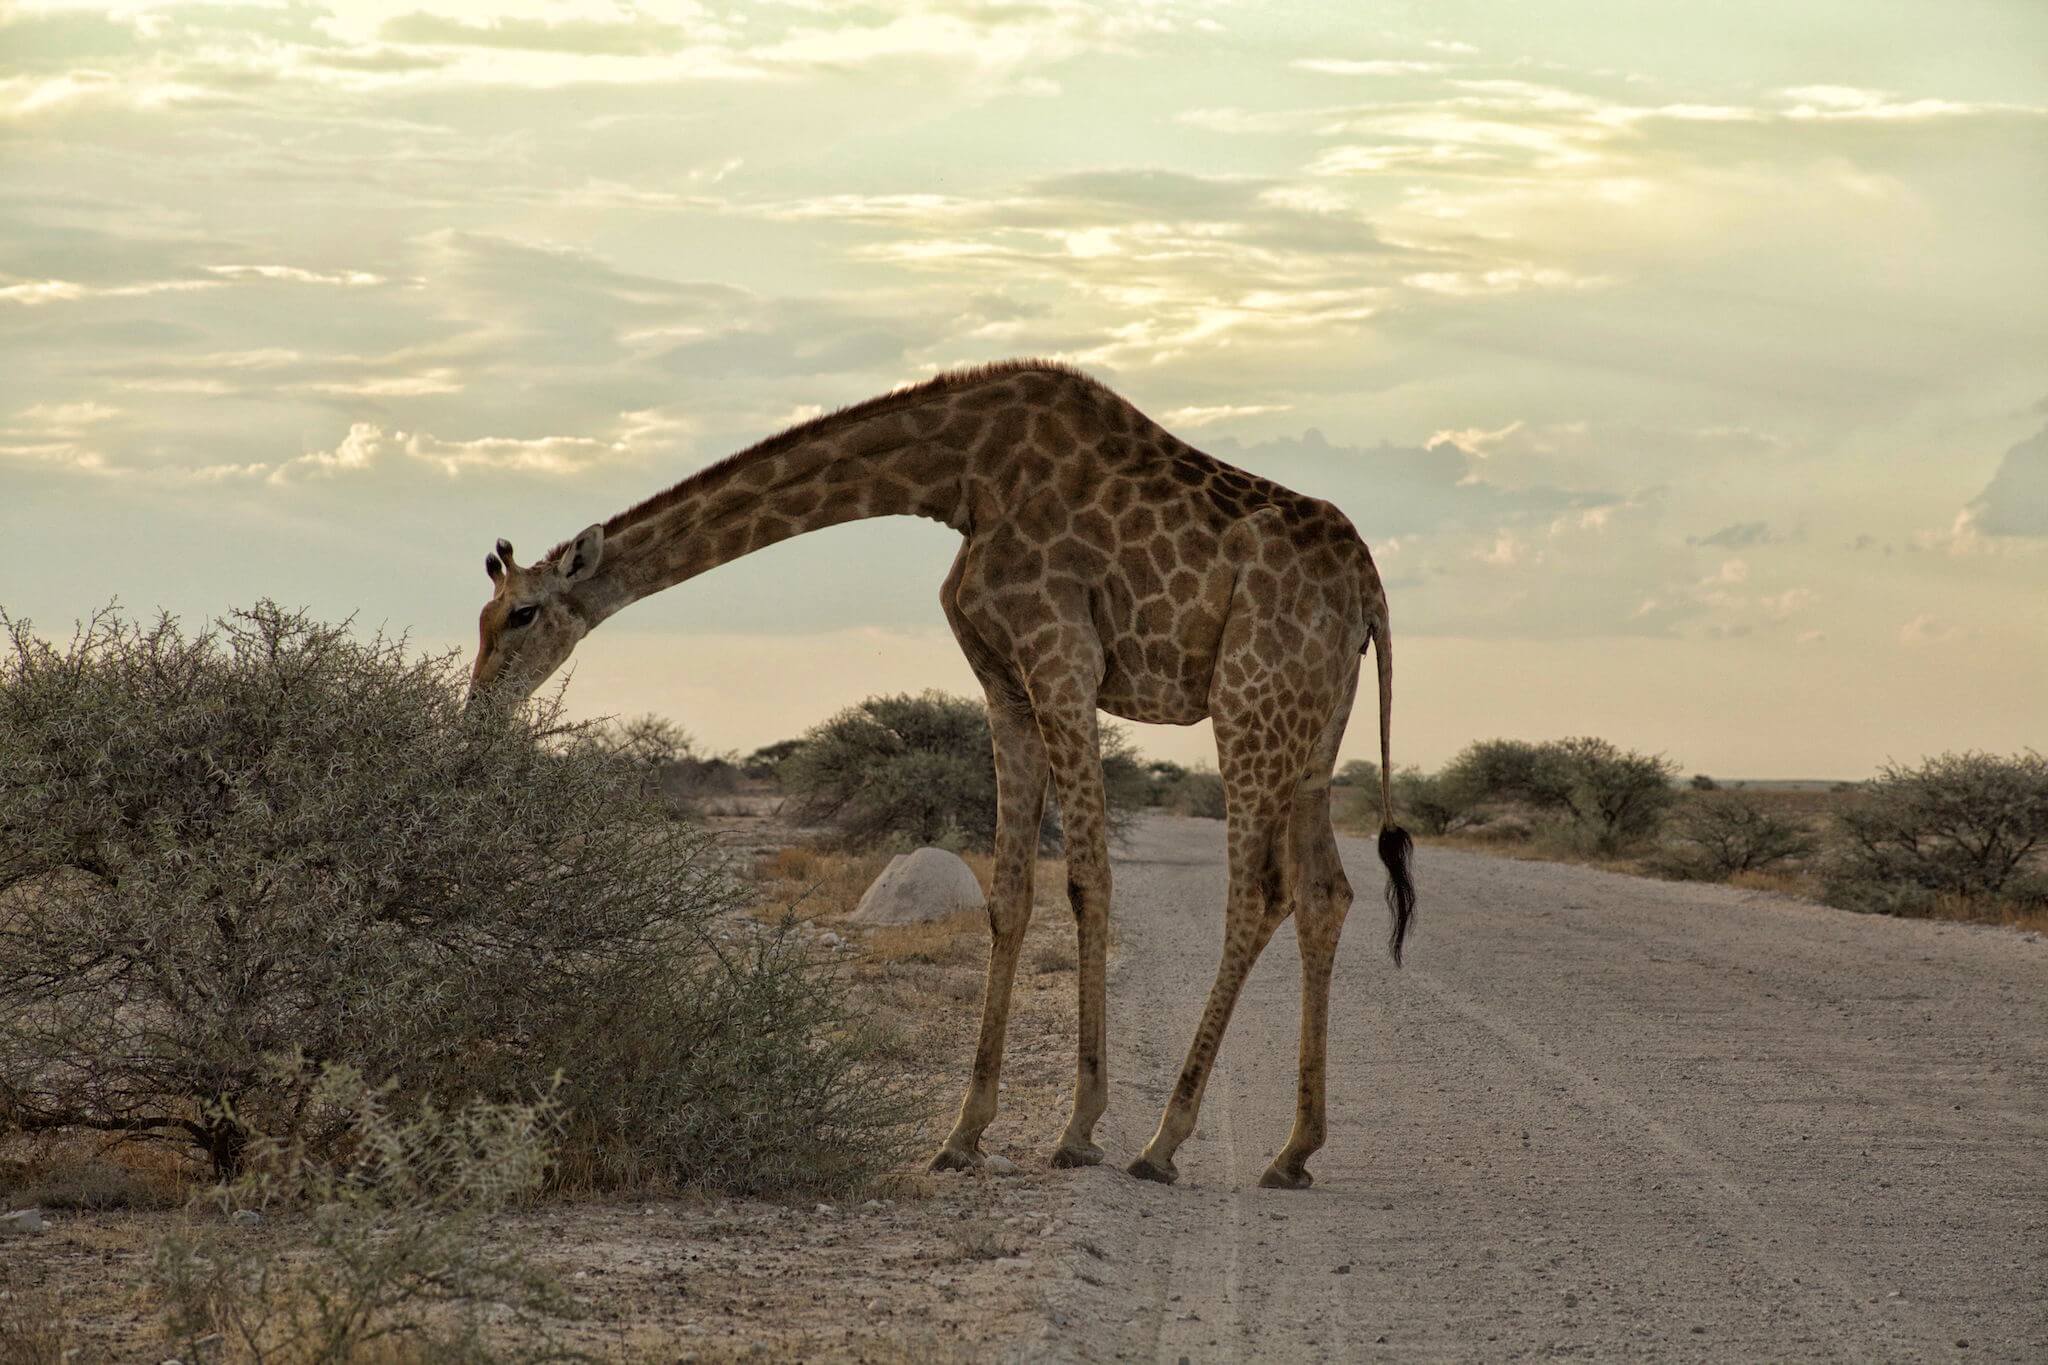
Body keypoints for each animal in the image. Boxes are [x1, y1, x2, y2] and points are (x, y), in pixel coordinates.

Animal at [468, 358, 1417, 1186]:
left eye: (521, 614)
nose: (478, 710)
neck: (956, 478)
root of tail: (1372, 590)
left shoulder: (1061, 656)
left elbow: (1088, 877)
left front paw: (1079, 1129)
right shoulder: (1004, 680)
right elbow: (1011, 891)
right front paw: (964, 1132)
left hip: (1249, 698)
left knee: (1258, 891)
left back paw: (1163, 1140)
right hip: (1311, 724)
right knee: (1325, 891)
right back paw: (1292, 1151)